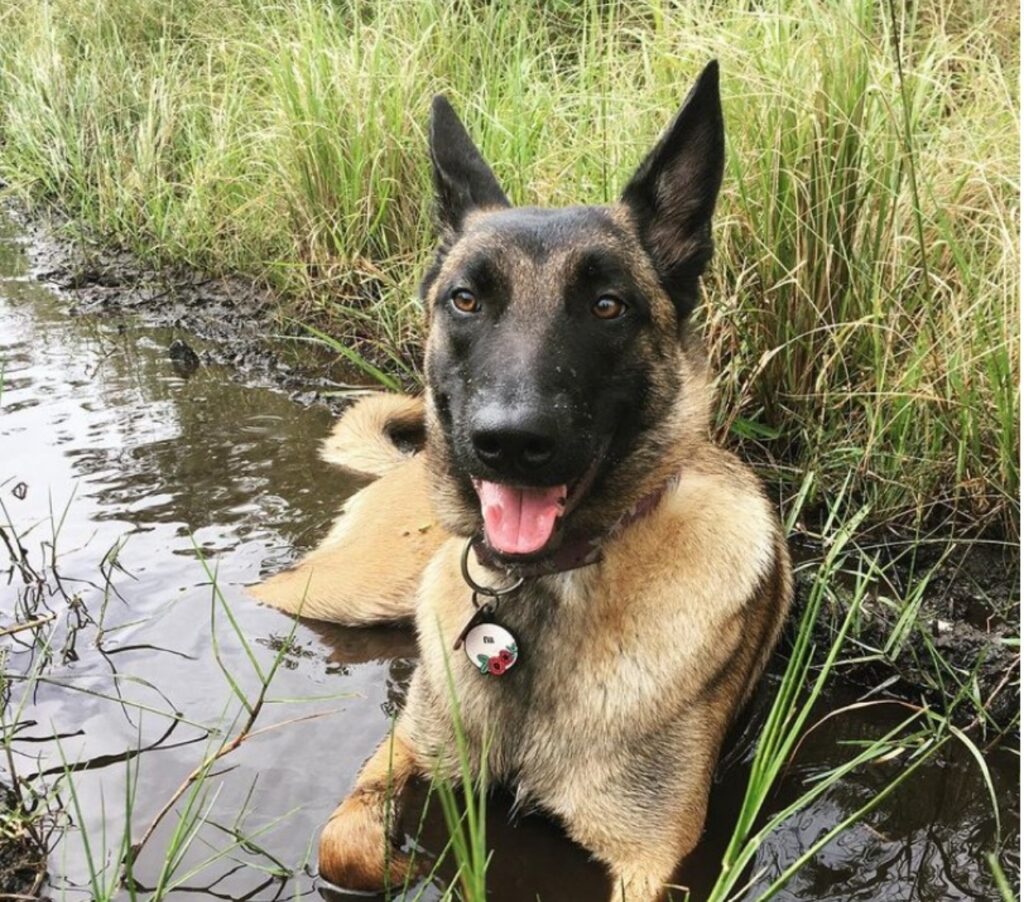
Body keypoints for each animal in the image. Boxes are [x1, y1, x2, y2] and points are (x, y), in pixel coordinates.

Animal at [253, 59, 790, 896]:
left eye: (607, 305)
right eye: (466, 299)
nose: (508, 442)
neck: (540, 593)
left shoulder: (654, 860)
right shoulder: (408, 744)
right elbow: (344, 841)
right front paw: (403, 860)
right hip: (339, 591)